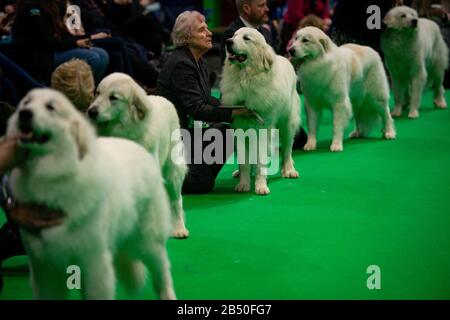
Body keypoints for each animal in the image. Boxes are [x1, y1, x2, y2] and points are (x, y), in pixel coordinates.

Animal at [7, 88, 176, 300]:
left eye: (51, 107)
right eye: (26, 103)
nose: (24, 114)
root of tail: (137, 148)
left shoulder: (93, 264)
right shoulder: (45, 270)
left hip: (146, 242)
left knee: (162, 270)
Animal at [88, 73, 188, 238]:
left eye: (113, 97)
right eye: (97, 93)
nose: (91, 111)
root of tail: (163, 98)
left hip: (173, 172)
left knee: (176, 201)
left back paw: (179, 229)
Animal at [221, 26, 300, 195]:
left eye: (246, 38)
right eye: (234, 35)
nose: (228, 42)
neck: (246, 78)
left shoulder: (263, 130)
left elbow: (260, 161)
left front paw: (261, 186)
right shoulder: (240, 129)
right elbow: (244, 162)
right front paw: (244, 184)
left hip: (287, 124)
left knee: (287, 150)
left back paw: (289, 170)